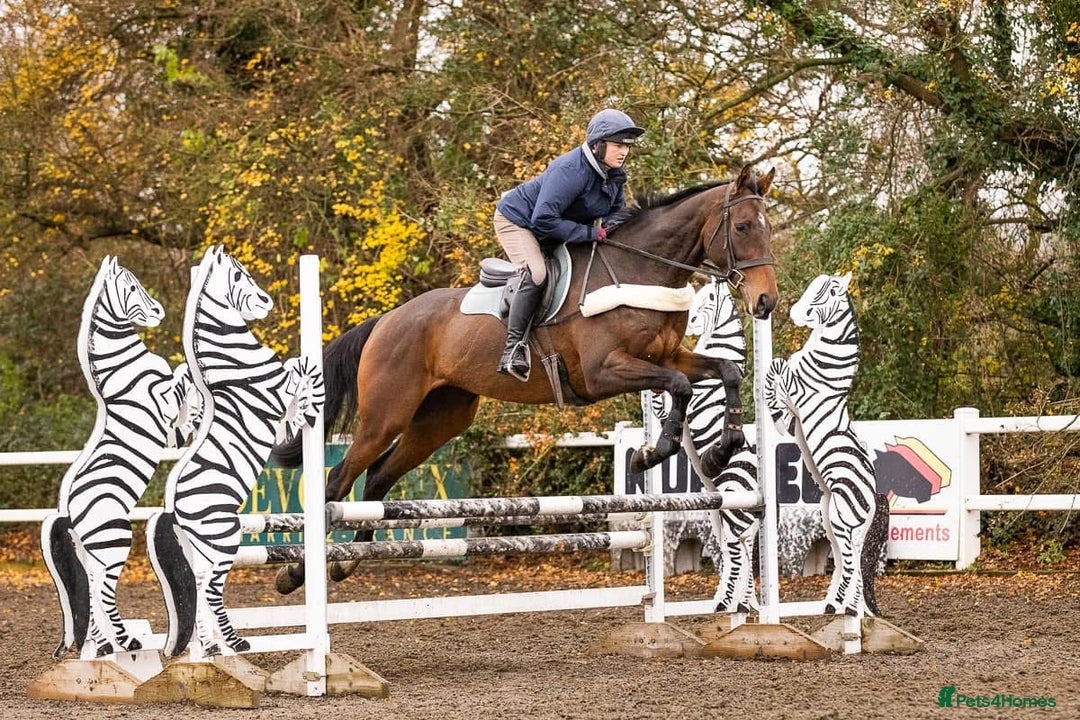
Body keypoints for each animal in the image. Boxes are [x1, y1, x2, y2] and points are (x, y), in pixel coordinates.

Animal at [272, 164, 778, 593]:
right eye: (742, 227)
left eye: (767, 227)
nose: (766, 302)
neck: (639, 272)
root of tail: (386, 320)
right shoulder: (603, 372)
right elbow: (679, 386)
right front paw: (653, 453)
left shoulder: (669, 355)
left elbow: (724, 371)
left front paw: (720, 450)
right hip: (386, 414)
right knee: (338, 481)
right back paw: (296, 574)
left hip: (440, 420)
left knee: (377, 478)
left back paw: (348, 562)